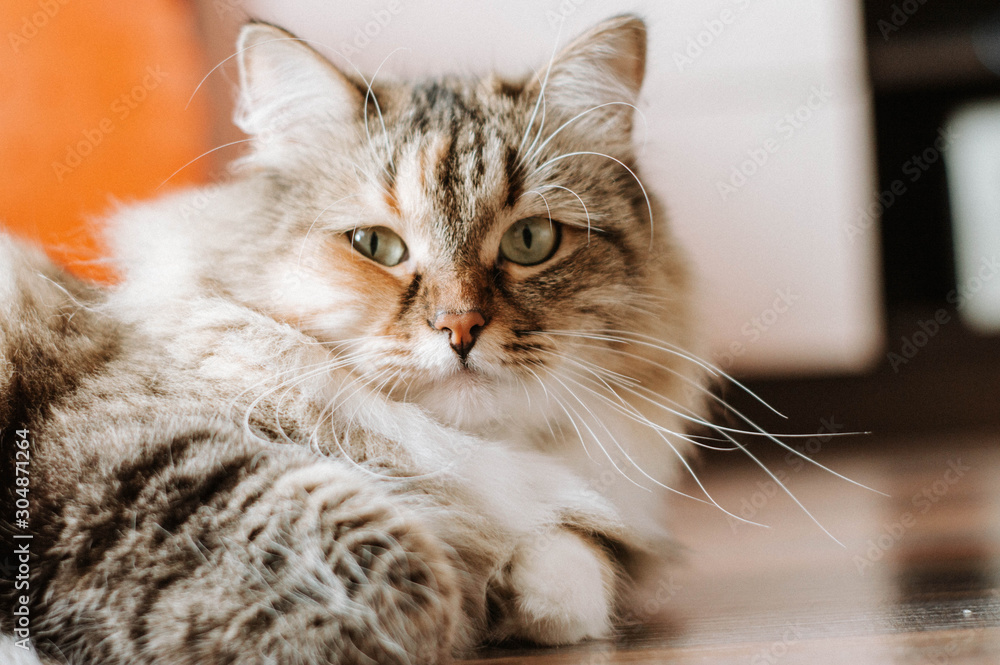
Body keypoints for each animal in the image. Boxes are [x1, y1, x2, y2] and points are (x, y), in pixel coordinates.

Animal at [0, 15, 708, 664]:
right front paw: (465, 607)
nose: (460, 327)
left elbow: (577, 572)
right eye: (376, 245)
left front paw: (513, 587)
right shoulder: (142, 465)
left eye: (531, 240)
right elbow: (405, 582)